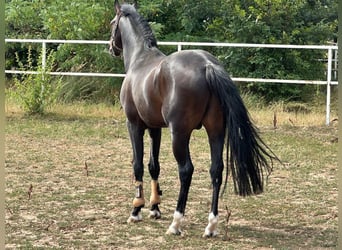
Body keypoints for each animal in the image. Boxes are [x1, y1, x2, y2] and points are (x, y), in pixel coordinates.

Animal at [109, 0, 278, 236]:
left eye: (112, 23)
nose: (111, 48)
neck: (140, 59)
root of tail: (207, 65)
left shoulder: (134, 125)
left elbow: (139, 165)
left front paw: (136, 210)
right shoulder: (155, 127)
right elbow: (154, 166)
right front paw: (155, 208)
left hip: (180, 135)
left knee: (186, 170)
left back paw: (176, 223)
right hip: (215, 131)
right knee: (216, 170)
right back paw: (211, 225)